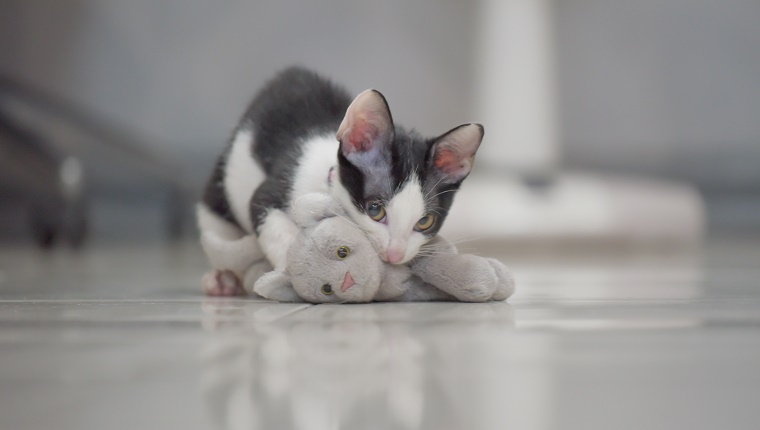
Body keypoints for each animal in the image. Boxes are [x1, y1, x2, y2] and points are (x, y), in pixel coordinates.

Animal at [196, 67, 480, 296]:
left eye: (425, 221)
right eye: (375, 210)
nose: (395, 254)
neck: (329, 186)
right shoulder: (275, 186)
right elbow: (269, 217)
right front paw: (290, 265)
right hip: (218, 197)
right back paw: (221, 278)